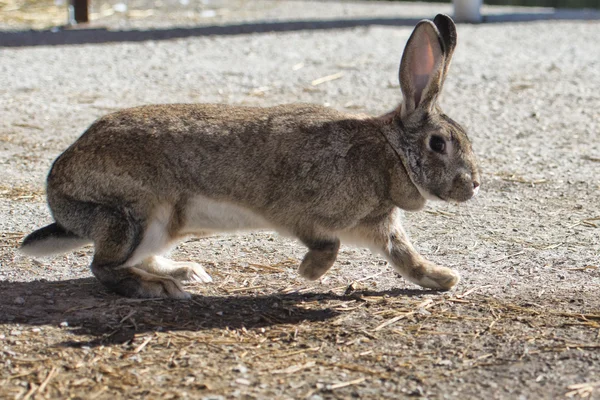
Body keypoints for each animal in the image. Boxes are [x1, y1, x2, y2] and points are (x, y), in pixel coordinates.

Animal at [19, 14, 478, 298]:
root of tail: (57, 191)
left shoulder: (381, 229)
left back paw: (186, 271)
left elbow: (406, 258)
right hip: (133, 215)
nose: (473, 185)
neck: (389, 152)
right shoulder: (300, 213)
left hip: (160, 224)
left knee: (136, 257)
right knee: (102, 266)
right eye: (439, 143)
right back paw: (157, 288)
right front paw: (308, 273)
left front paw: (444, 279)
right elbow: (327, 245)